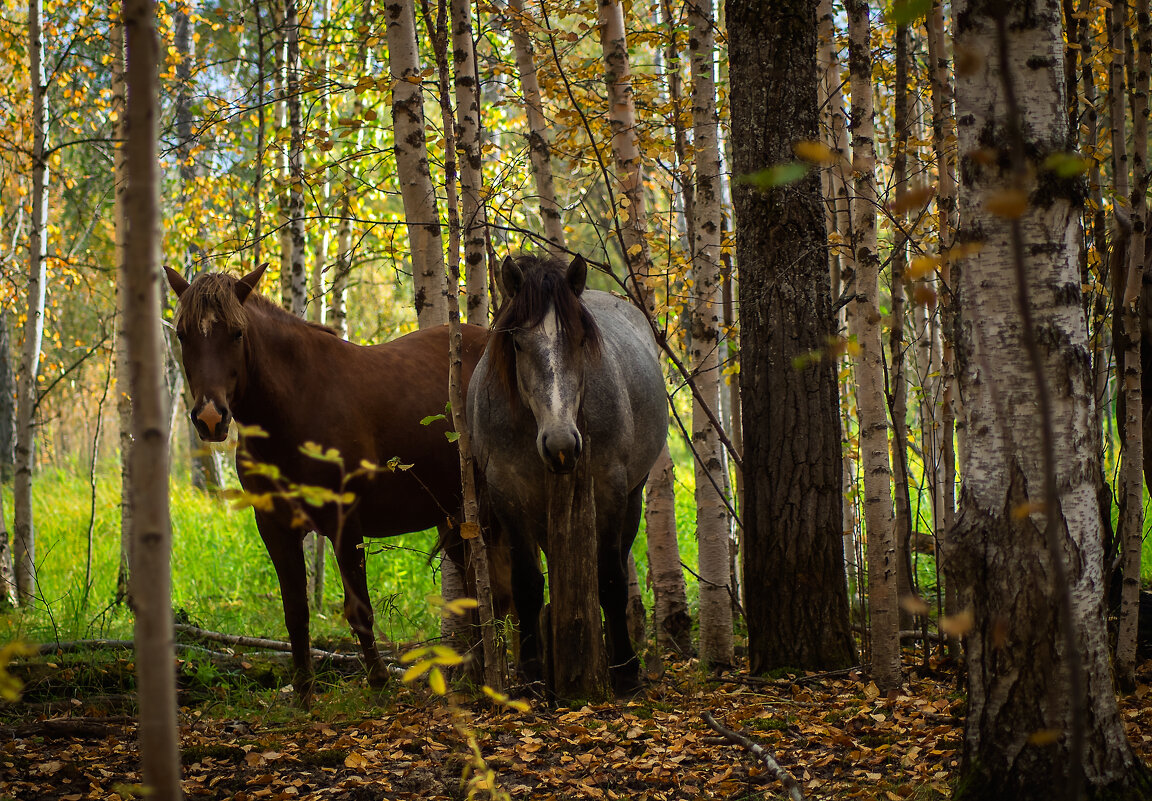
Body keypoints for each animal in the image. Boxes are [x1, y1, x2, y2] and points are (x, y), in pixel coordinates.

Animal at [164, 265, 483, 700]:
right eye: (183, 334)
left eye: (237, 333)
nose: (211, 418)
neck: (295, 408)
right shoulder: (275, 527)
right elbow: (296, 611)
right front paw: (302, 690)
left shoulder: (344, 520)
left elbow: (359, 608)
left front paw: (378, 680)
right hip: (453, 515)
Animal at [465, 253, 668, 691]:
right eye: (518, 342)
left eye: (580, 340)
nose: (561, 445)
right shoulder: (507, 494)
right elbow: (526, 583)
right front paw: (530, 672)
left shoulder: (609, 488)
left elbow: (609, 578)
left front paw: (625, 669)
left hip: (632, 497)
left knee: (615, 564)